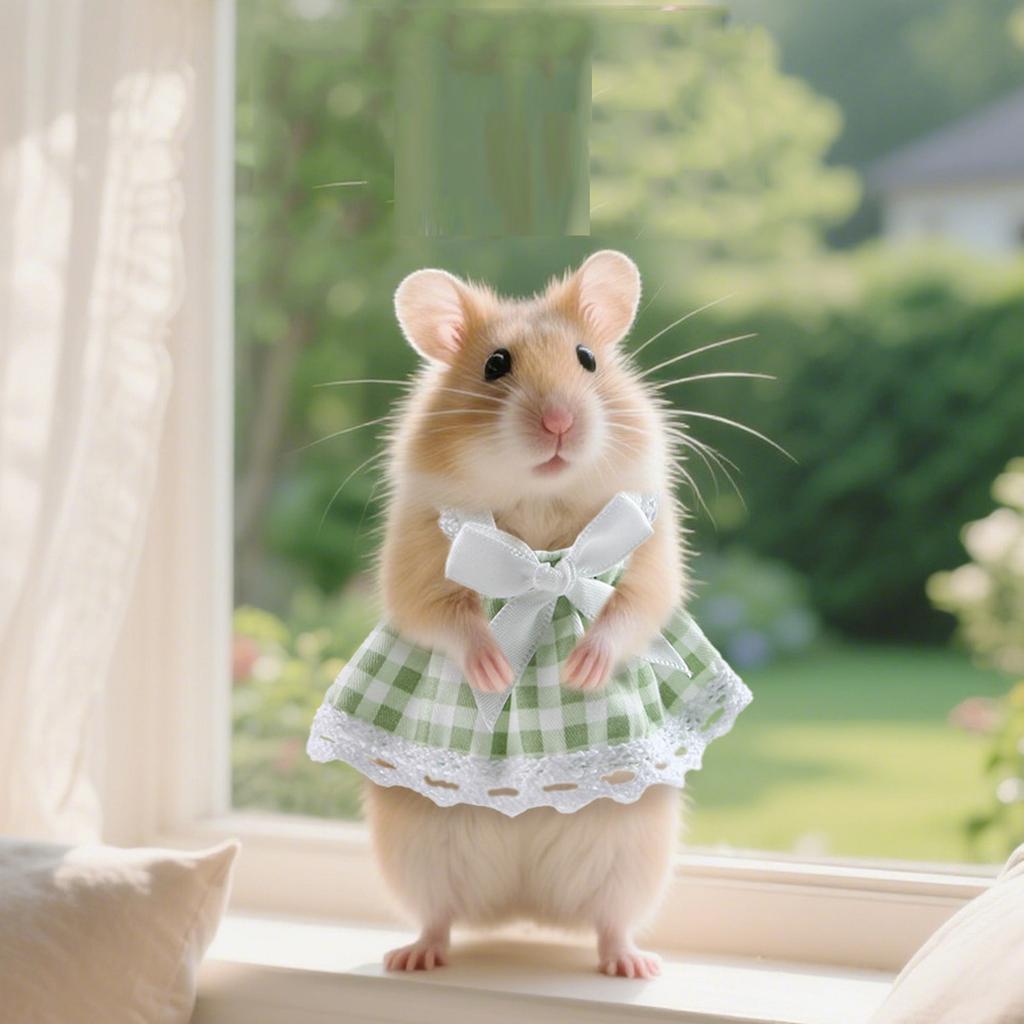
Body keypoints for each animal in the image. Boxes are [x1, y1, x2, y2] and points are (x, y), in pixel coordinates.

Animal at [367, 250, 685, 979]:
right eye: (495, 364)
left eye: (588, 359)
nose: (560, 422)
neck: (539, 507)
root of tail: (523, 910)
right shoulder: (415, 564)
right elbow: (446, 617)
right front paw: (493, 670)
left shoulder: (653, 554)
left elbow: (632, 608)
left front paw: (581, 670)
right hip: (417, 854)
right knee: (438, 917)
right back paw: (414, 958)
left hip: (633, 857)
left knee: (611, 923)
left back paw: (633, 965)